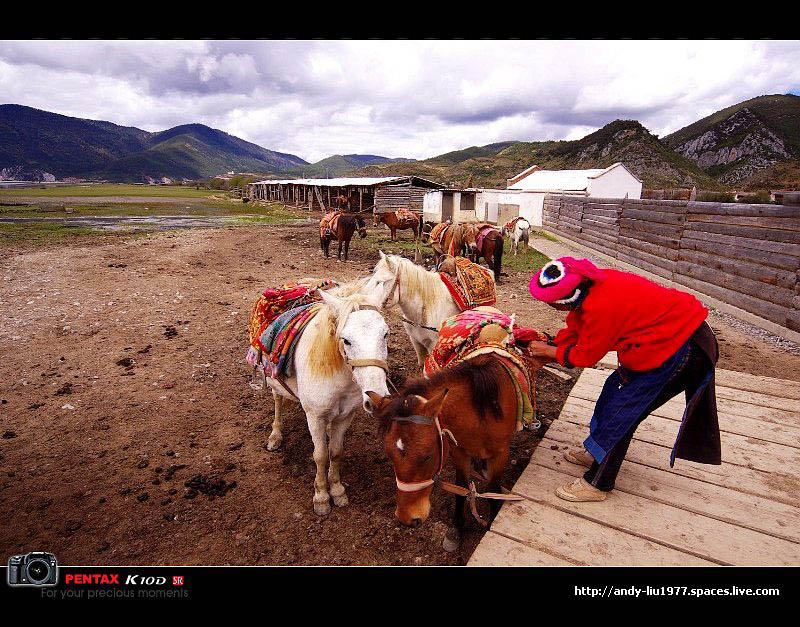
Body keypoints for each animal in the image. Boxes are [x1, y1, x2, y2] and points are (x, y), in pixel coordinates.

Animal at [260, 288, 390, 516]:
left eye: (385, 334)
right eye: (346, 340)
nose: (377, 400)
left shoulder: (346, 416)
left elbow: (335, 452)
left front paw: (337, 491)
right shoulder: (315, 417)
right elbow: (320, 455)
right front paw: (321, 496)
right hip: (273, 381)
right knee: (278, 402)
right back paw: (275, 435)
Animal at [368, 356, 532, 552]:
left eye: (427, 456)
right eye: (389, 455)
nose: (407, 518)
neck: (479, 414)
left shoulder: (500, 454)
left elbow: (493, 491)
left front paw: (491, 521)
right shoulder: (459, 452)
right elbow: (460, 488)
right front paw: (457, 528)